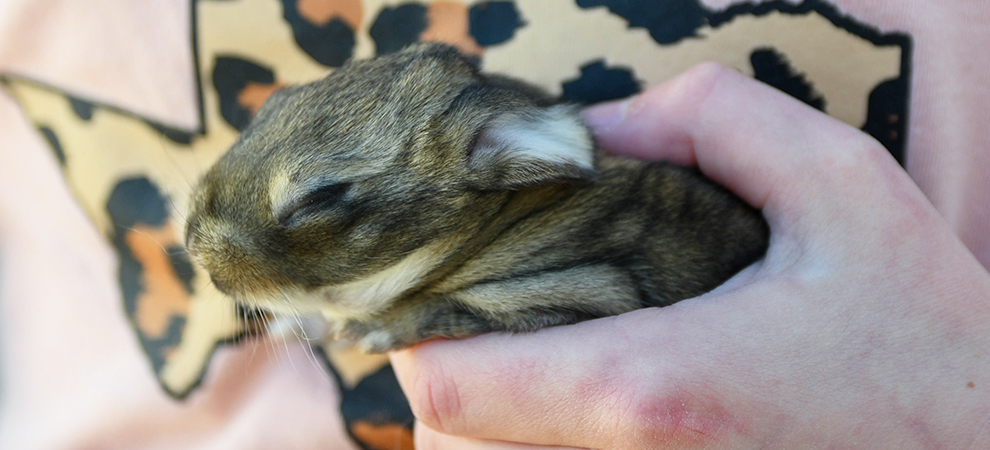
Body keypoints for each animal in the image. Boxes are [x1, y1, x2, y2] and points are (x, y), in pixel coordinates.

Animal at [185, 43, 769, 353]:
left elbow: (442, 308)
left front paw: (369, 332)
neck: (485, 229)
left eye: (318, 198)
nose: (194, 244)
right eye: (272, 105)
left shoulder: (585, 291)